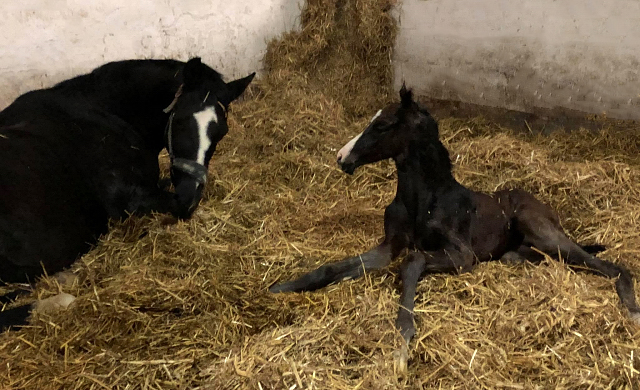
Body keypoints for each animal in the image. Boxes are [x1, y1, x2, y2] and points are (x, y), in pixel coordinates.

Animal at [272, 84, 640, 372]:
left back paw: (632, 310)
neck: (422, 200)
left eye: (383, 125)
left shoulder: (462, 255)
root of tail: (545, 208)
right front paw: (282, 287)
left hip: (541, 230)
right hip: (522, 251)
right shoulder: (388, 247)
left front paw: (402, 341)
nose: (341, 157)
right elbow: (331, 269)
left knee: (611, 266)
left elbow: (414, 261)